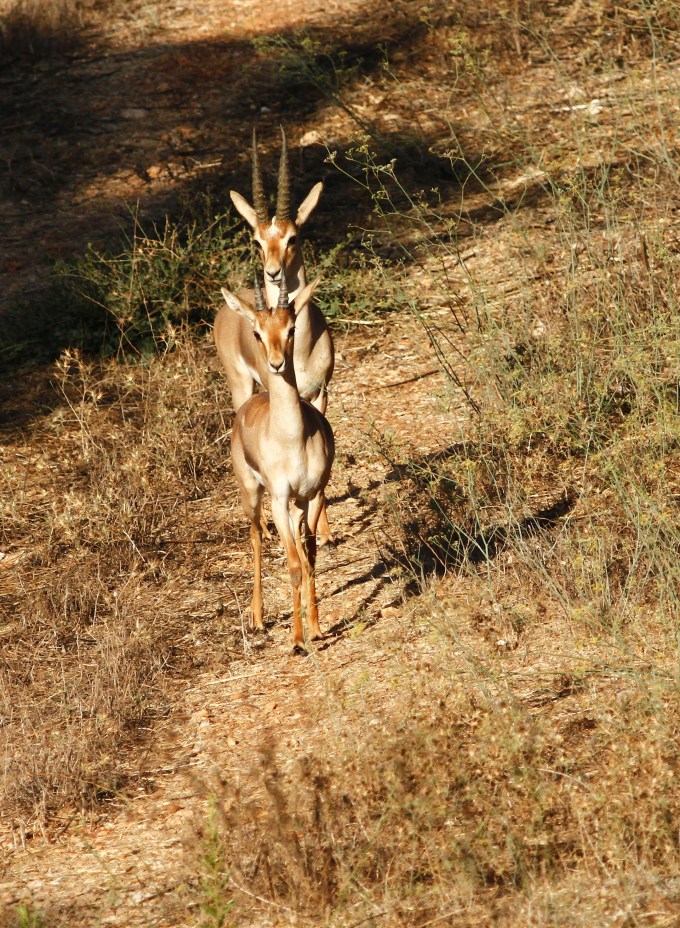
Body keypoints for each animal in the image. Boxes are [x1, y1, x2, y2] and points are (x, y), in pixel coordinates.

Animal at [214, 126, 335, 543]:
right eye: (256, 239)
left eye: (293, 237)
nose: (273, 273)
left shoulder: (321, 392)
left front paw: (323, 530)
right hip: (241, 387)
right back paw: (265, 527)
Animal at [223, 274, 334, 652]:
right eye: (257, 331)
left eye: (291, 328)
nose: (276, 363)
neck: (291, 441)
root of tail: (250, 403)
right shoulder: (280, 499)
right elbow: (293, 565)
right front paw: (297, 641)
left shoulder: (312, 495)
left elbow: (310, 558)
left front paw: (315, 629)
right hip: (253, 495)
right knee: (256, 536)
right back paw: (257, 619)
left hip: (297, 505)